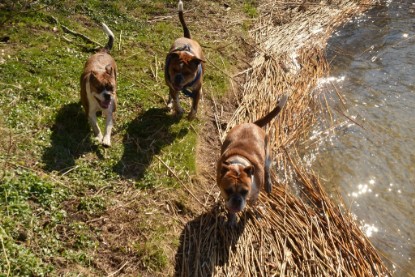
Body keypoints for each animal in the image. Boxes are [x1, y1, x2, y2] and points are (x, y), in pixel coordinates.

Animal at [218, 95, 290, 224]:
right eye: (228, 190)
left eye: (245, 191)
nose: (237, 200)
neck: (238, 164)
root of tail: (253, 124)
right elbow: (230, 208)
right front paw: (232, 218)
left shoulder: (254, 193)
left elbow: (253, 203)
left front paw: (253, 209)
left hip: (267, 156)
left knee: (267, 169)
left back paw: (268, 184)